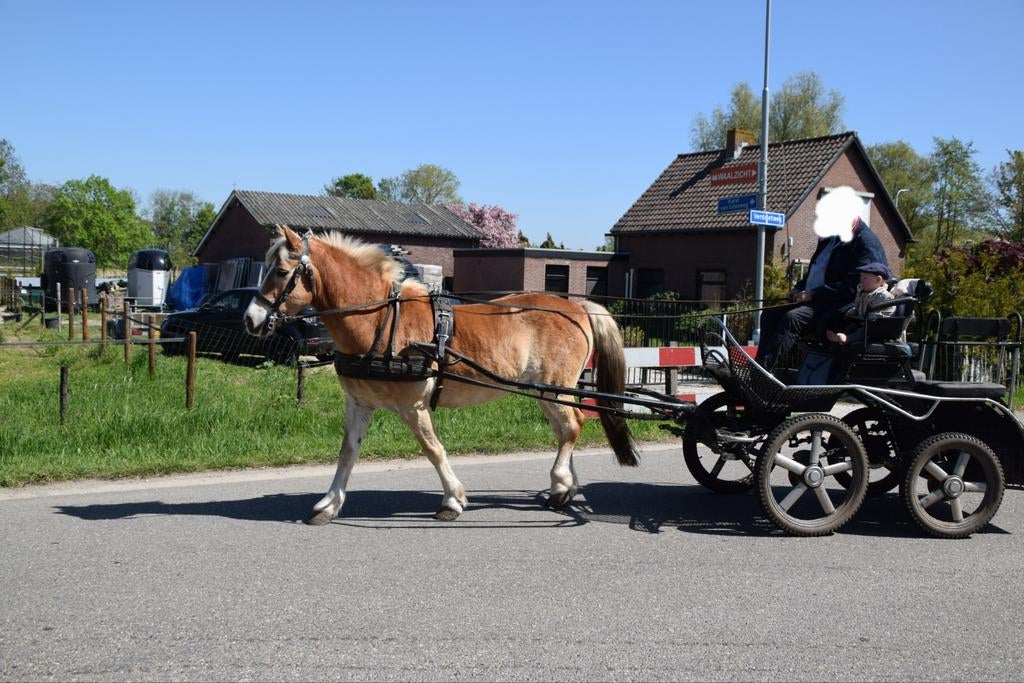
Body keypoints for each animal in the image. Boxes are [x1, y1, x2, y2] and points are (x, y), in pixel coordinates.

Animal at [243, 225, 638, 525]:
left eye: (281, 272)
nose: (250, 319)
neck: (380, 319)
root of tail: (577, 306)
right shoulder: (359, 403)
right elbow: (347, 453)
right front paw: (329, 504)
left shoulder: (413, 406)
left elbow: (433, 449)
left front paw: (453, 500)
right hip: (544, 391)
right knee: (565, 430)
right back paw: (567, 486)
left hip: (554, 388)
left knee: (572, 426)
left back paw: (559, 484)